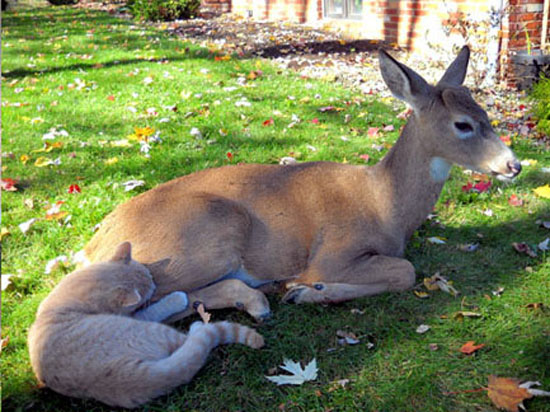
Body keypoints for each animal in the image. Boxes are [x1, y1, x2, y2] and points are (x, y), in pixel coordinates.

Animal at [28, 241, 266, 408]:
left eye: (150, 277)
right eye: (149, 288)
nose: (155, 286)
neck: (73, 297)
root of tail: (123, 377)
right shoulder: (141, 316)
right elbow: (157, 308)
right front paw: (177, 297)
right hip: (157, 331)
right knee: (194, 340)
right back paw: (197, 326)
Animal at [80, 47, 524, 322]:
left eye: (486, 113)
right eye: (463, 125)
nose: (514, 164)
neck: (385, 204)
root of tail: (93, 245)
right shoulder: (333, 251)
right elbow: (405, 271)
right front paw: (307, 290)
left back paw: (256, 298)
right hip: (205, 235)